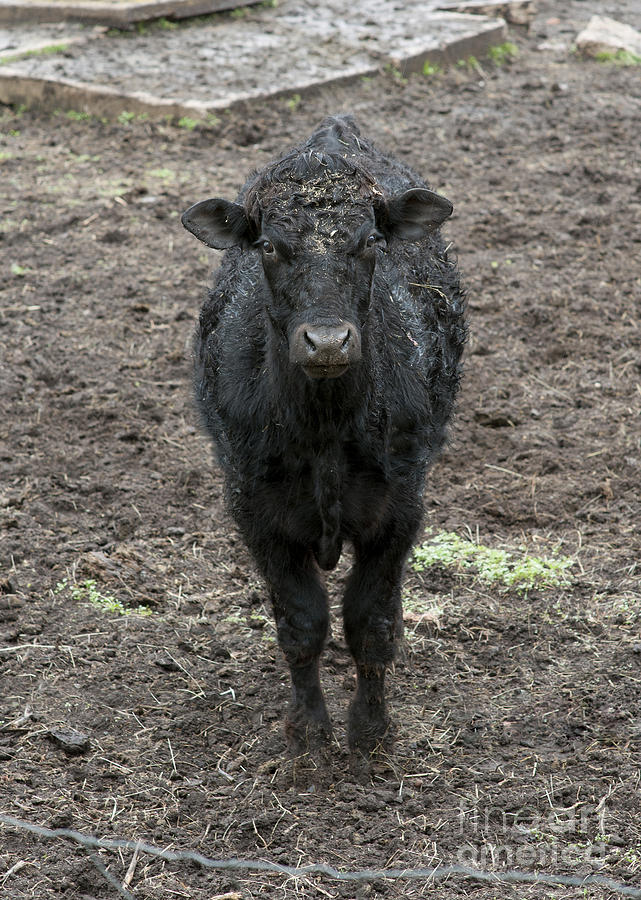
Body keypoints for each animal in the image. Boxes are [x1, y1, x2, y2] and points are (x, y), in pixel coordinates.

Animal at [180, 116, 464, 756]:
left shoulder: (399, 510)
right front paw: (308, 734)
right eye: (267, 245)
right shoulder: (256, 513)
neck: (327, 428)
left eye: (371, 241)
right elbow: (303, 623)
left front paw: (371, 732)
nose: (328, 341)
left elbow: (370, 621)